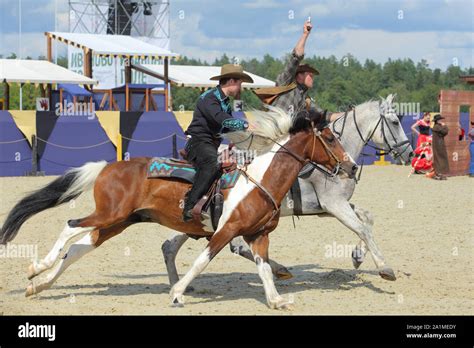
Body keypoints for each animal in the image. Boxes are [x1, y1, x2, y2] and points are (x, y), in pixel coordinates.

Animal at [0, 107, 356, 308]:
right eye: (329, 138)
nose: (352, 166)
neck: (259, 179)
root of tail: (106, 166)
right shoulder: (225, 230)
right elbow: (201, 262)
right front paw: (177, 293)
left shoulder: (258, 235)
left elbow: (265, 269)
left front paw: (276, 300)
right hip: (109, 215)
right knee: (70, 226)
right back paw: (37, 267)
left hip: (116, 223)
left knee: (76, 249)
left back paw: (38, 286)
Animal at [162, 94, 412, 286]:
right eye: (394, 122)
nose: (409, 153)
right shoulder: (334, 205)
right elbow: (362, 229)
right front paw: (385, 268)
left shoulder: (329, 208)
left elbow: (367, 219)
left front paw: (358, 257)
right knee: (236, 246)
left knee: (170, 246)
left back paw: (177, 284)